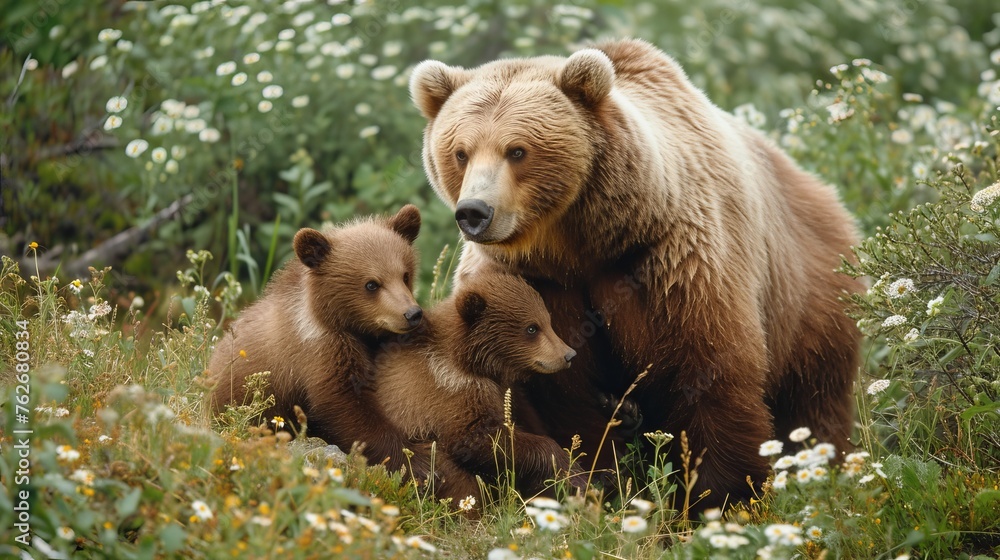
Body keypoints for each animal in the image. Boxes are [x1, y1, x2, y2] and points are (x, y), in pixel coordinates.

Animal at [208, 205, 463, 489]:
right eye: (371, 283)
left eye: (405, 274)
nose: (412, 314)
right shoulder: (319, 355)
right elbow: (344, 410)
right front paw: (420, 462)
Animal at [374, 271, 580, 499]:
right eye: (532, 328)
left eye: (548, 321)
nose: (568, 354)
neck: (466, 360)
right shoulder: (450, 390)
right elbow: (479, 439)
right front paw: (568, 468)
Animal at [409, 38, 863, 508]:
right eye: (460, 152)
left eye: (517, 150)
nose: (474, 212)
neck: (578, 245)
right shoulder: (530, 283)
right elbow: (557, 389)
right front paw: (599, 477)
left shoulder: (672, 262)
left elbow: (710, 370)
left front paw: (723, 495)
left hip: (810, 298)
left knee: (813, 398)